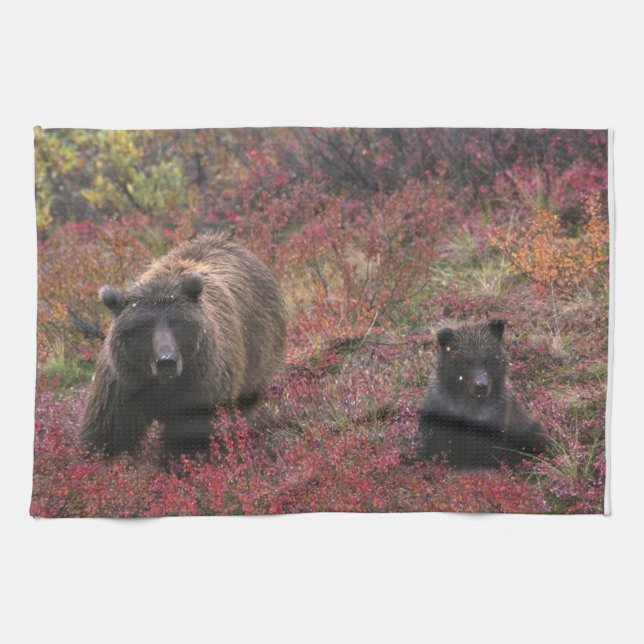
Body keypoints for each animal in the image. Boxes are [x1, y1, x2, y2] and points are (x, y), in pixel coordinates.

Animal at [81, 232, 287, 457]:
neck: (164, 384)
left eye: (176, 322)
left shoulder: (202, 387)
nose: (166, 360)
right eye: (144, 325)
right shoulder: (123, 385)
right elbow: (109, 433)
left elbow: (192, 435)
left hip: (258, 352)